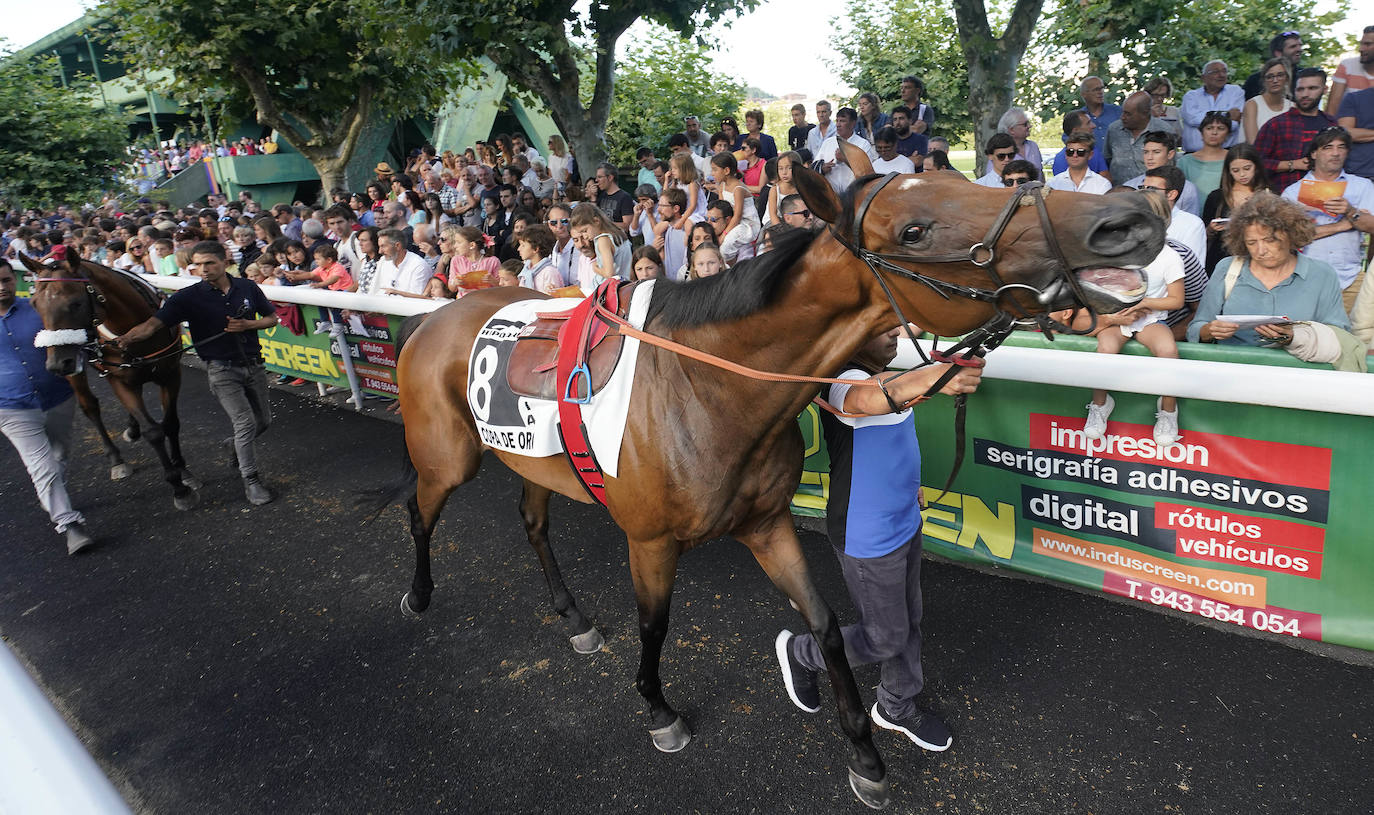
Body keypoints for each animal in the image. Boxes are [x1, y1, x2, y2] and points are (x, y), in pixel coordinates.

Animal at [17, 251, 200, 511]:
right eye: (34, 304)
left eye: (76, 303)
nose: (56, 365)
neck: (135, 330)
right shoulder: (119, 380)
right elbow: (153, 431)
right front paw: (179, 488)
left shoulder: (171, 373)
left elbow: (171, 423)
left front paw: (183, 471)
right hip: (74, 366)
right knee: (90, 406)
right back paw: (116, 458)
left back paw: (132, 429)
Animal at [392, 146, 1165, 808]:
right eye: (914, 229)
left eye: (969, 180)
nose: (1128, 218)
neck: (710, 388)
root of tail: (435, 317)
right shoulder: (650, 539)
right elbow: (654, 624)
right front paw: (660, 709)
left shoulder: (765, 524)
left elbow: (825, 625)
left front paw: (864, 754)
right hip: (449, 456)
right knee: (421, 512)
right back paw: (419, 593)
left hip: (534, 457)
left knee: (532, 522)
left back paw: (572, 614)